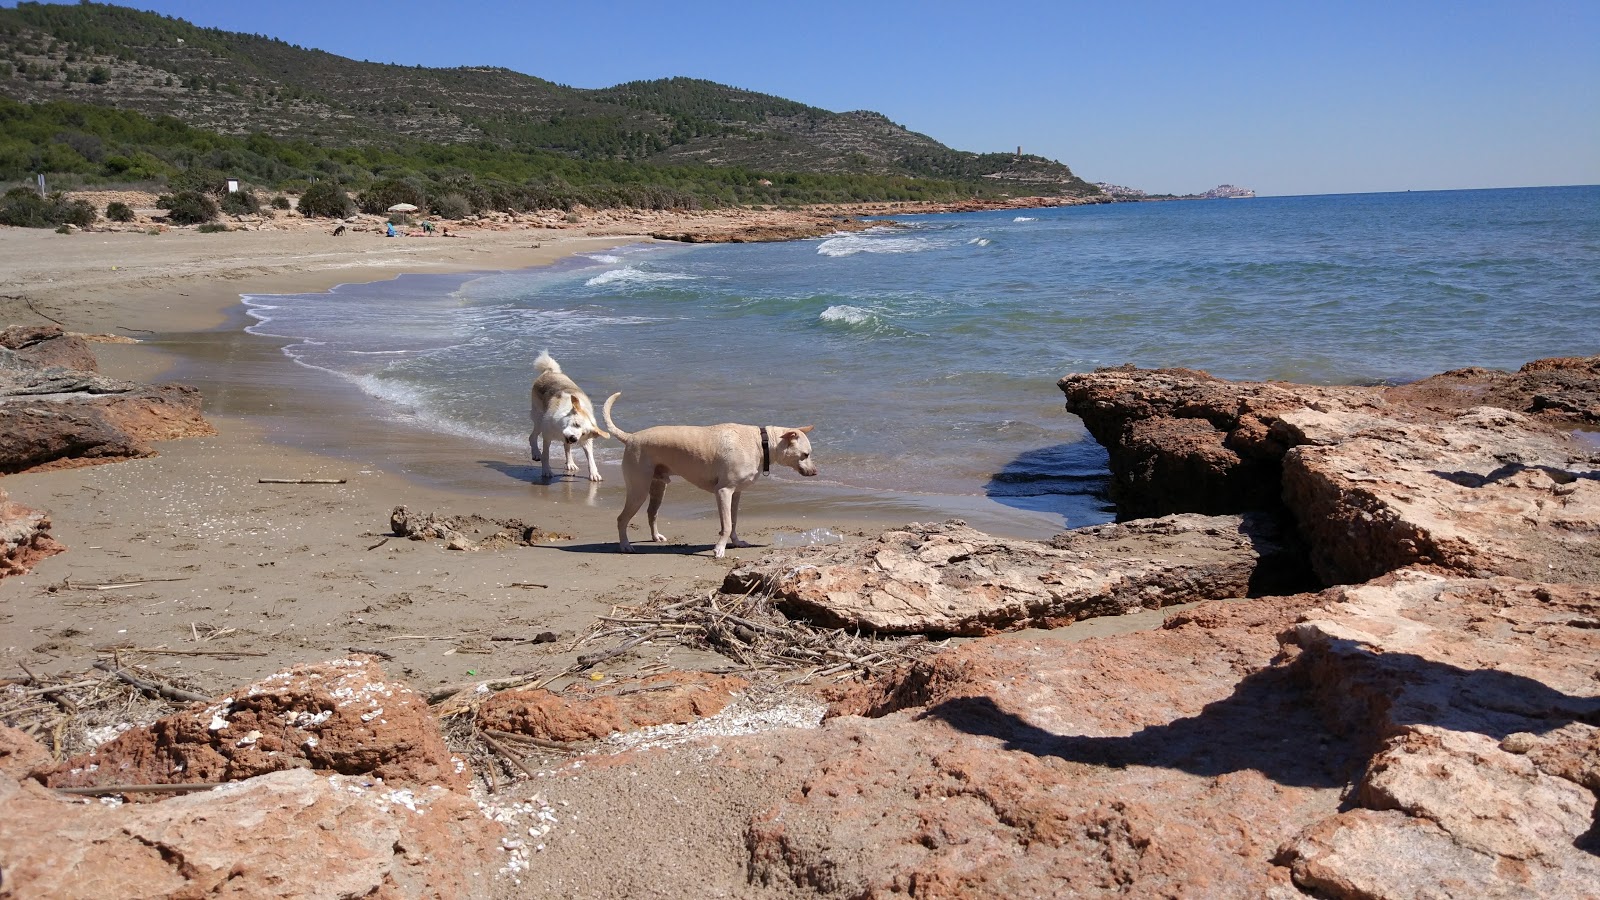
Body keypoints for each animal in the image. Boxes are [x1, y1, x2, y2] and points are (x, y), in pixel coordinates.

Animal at [537, 347, 611, 480]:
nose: (573, 438)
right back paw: (535, 452)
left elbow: (590, 457)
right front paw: (546, 470)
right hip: (537, 419)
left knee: (567, 447)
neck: (559, 428)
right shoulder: (547, 436)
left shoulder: (586, 441)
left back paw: (570, 463)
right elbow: (546, 454)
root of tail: (550, 372)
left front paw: (594, 473)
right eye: (576, 424)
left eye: (583, 434)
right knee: (532, 436)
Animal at [601, 390, 819, 554]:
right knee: (622, 519)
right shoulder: (723, 491)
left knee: (651, 513)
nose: (816, 472)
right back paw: (625, 545)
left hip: (658, 487)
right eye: (805, 454)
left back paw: (655, 538)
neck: (761, 443)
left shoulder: (735, 494)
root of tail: (630, 437)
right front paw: (719, 549)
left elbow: (734, 521)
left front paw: (736, 542)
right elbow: (727, 524)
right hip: (638, 490)